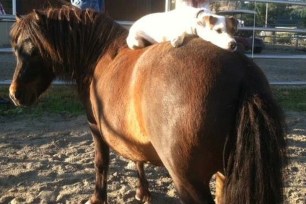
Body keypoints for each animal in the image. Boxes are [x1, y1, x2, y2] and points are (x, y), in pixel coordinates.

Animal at [9, 7, 286, 203]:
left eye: (32, 49)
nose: (14, 94)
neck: (99, 53)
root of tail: (241, 72)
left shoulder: (96, 128)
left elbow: (101, 162)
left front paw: (98, 197)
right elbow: (137, 158)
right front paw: (143, 193)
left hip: (190, 182)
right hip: (224, 173)